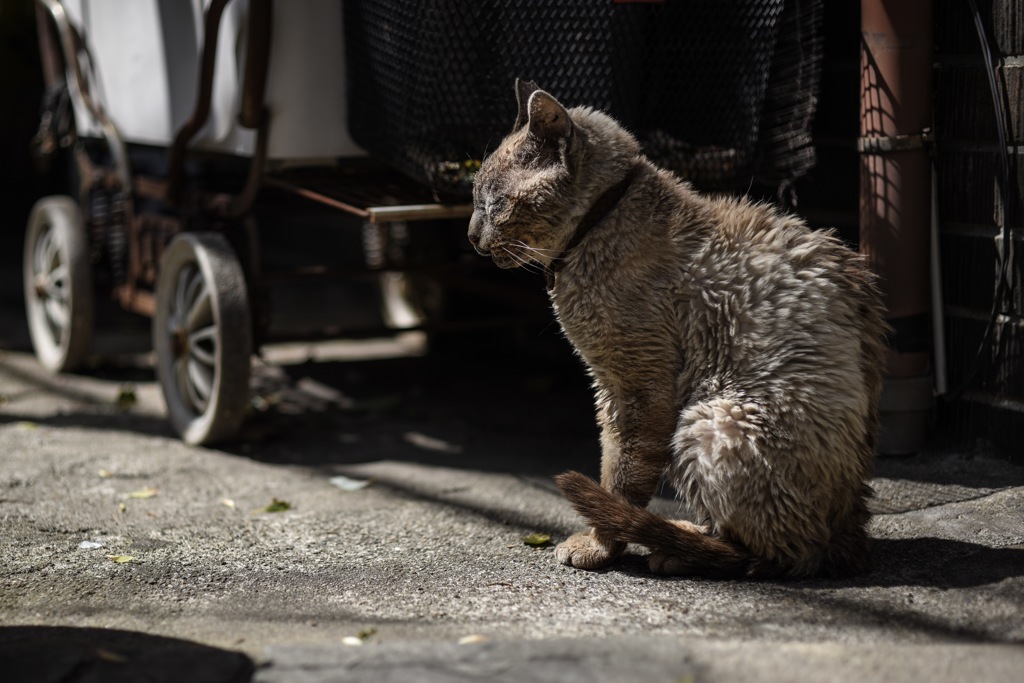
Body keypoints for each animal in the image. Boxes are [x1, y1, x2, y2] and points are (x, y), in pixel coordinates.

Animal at [468, 81, 888, 581]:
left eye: (492, 203)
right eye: (475, 199)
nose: (470, 236)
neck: (597, 227)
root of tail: (852, 530)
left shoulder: (635, 387)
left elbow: (619, 479)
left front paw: (597, 546)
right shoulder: (608, 388)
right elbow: (612, 469)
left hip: (708, 418)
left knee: (780, 553)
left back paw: (678, 549)